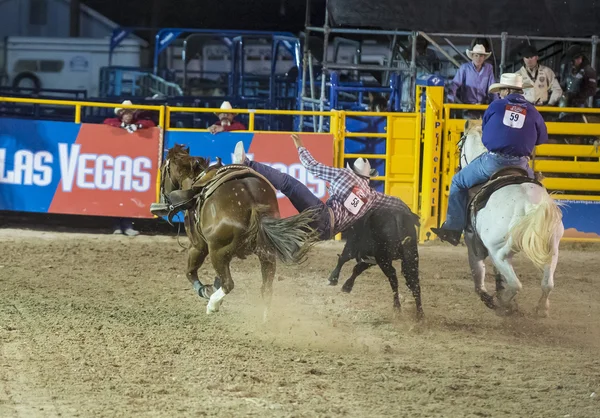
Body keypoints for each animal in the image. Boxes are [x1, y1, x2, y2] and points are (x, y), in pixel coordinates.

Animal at [151, 144, 318, 316]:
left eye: (162, 169)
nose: (160, 202)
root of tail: (253, 204)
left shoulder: (198, 246)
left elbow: (190, 272)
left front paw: (205, 291)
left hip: (217, 252)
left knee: (228, 284)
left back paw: (212, 305)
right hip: (267, 253)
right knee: (266, 289)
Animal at [458, 120, 564, 316]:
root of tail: (528, 204)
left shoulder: (474, 243)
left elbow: (478, 274)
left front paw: (490, 297)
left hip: (498, 251)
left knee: (515, 284)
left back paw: (503, 305)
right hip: (551, 248)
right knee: (547, 284)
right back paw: (540, 309)